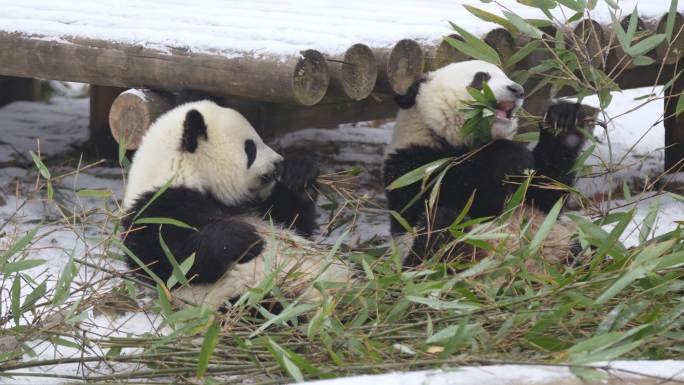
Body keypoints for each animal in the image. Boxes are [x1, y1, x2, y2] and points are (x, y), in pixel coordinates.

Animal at [119, 100, 350, 308]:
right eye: (250, 148)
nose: (277, 162)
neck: (181, 175)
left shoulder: (255, 206)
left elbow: (294, 222)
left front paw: (298, 173)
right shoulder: (156, 207)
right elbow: (168, 262)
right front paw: (239, 239)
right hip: (251, 295)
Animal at [382, 60, 592, 270]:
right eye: (481, 77)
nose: (518, 90)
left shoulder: (535, 206)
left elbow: (547, 195)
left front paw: (563, 118)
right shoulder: (415, 167)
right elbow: (471, 195)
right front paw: (511, 154)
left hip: (562, 243)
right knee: (442, 228)